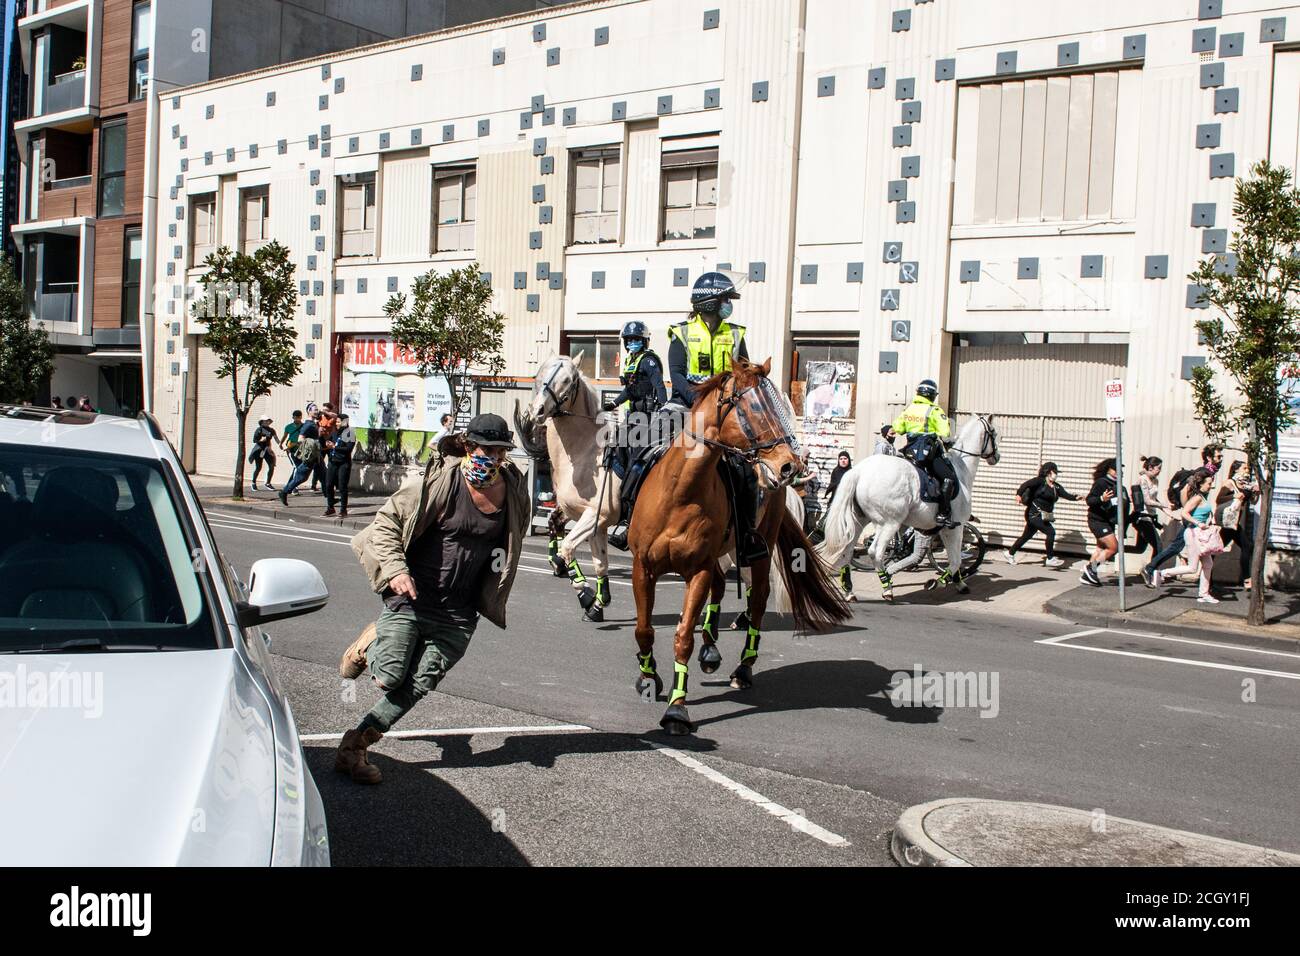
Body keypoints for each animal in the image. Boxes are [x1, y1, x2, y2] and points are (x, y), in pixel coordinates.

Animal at [629, 356, 852, 733]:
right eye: (754, 407)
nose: (790, 465)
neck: (680, 492)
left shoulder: (698, 570)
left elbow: (683, 636)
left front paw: (677, 710)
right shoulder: (642, 568)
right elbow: (644, 629)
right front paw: (648, 678)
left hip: (757, 549)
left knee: (757, 599)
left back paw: (743, 669)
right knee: (722, 589)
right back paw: (711, 651)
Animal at [816, 416, 998, 598]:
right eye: (994, 433)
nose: (997, 456)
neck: (960, 469)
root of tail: (858, 471)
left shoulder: (943, 529)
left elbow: (954, 560)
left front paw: (959, 583)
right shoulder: (955, 527)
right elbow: (956, 561)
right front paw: (938, 582)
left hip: (858, 520)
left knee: (846, 551)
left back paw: (849, 590)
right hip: (888, 523)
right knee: (875, 551)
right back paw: (887, 587)